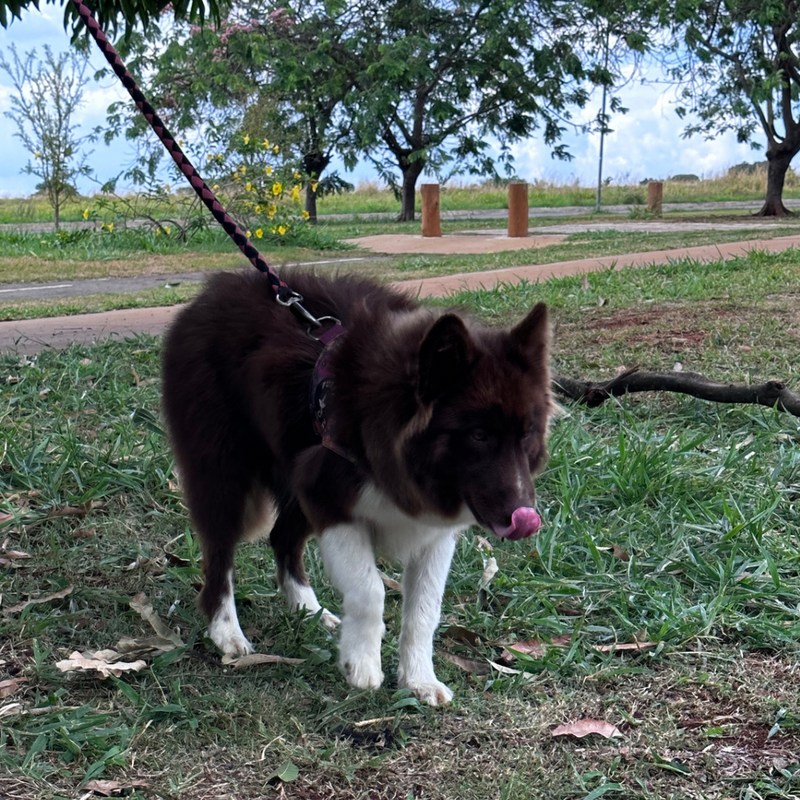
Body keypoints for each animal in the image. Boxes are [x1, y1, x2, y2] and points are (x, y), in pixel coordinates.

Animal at [162, 270, 552, 708]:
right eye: (480, 435)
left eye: (527, 434)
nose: (526, 518)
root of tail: (213, 291)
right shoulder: (331, 499)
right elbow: (370, 590)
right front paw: (361, 665)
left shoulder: (430, 530)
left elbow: (425, 608)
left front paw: (419, 679)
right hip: (224, 469)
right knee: (220, 552)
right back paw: (226, 630)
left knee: (282, 538)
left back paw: (307, 608)